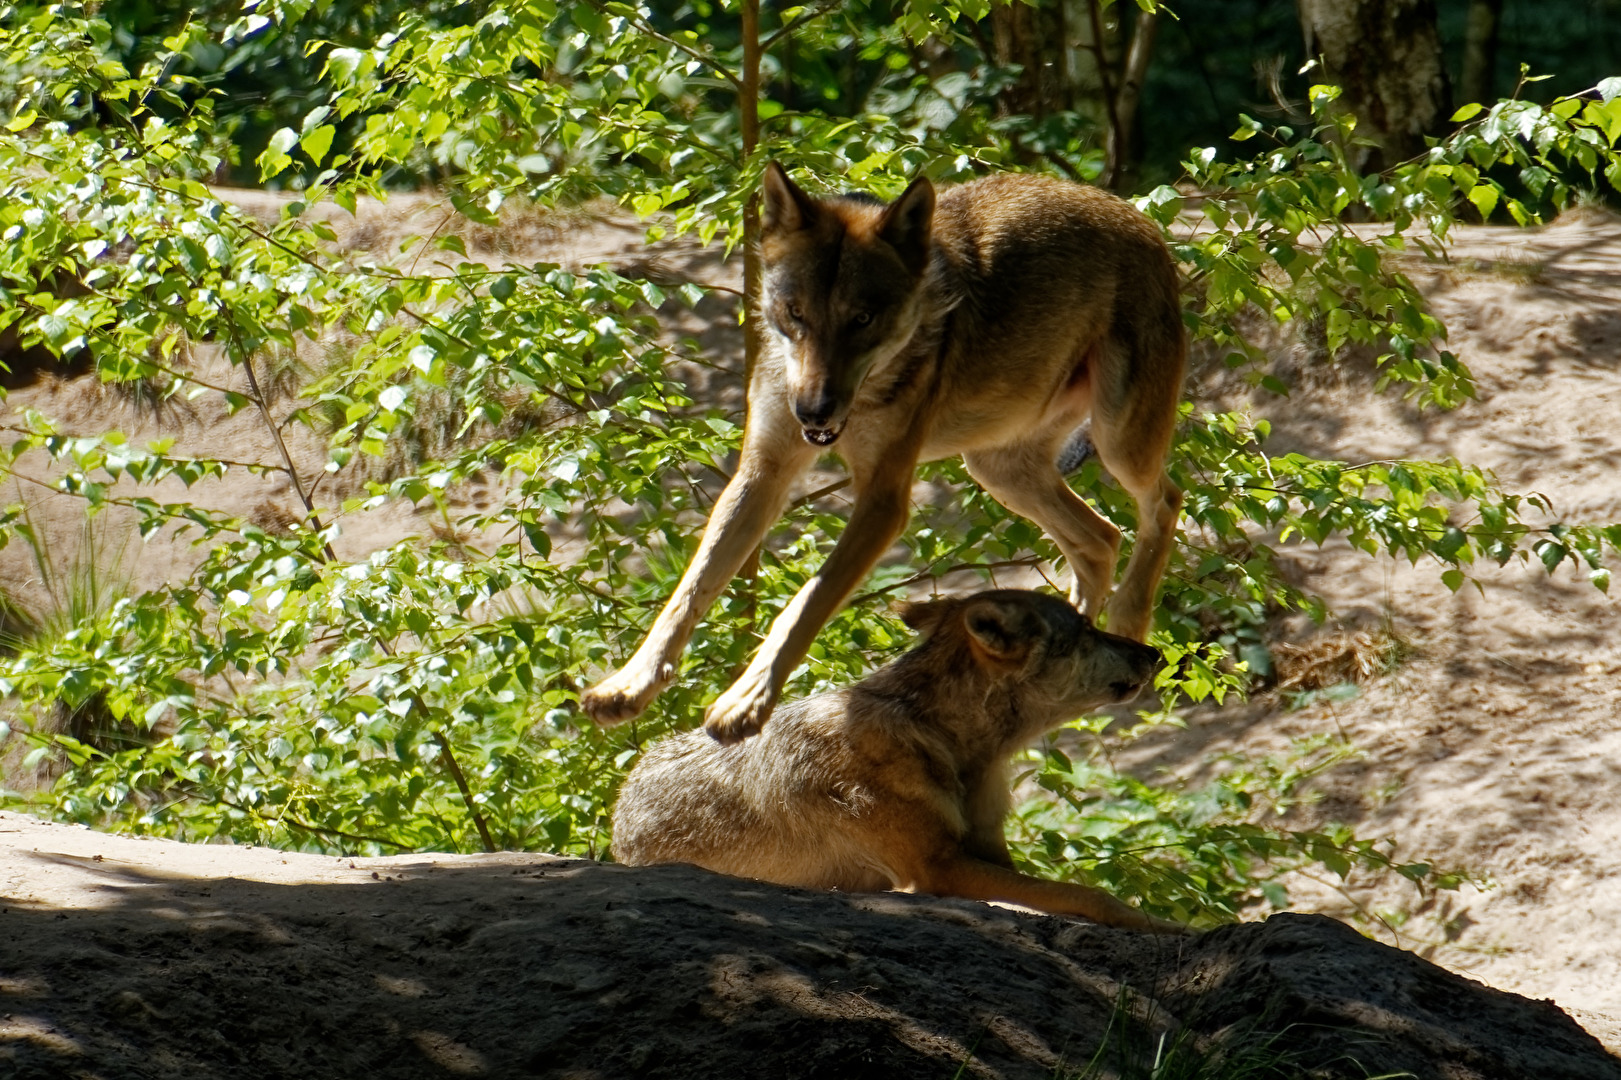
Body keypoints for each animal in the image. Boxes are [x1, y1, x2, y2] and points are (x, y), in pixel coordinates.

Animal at [582, 164, 1186, 742]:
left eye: (863, 319)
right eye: (795, 313)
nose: (813, 412)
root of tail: (1136, 215)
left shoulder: (882, 501)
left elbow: (805, 603)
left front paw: (747, 699)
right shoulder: (761, 474)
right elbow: (689, 591)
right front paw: (628, 684)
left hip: (1116, 441)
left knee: (1163, 501)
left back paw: (1126, 618)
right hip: (998, 470)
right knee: (1101, 537)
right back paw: (1076, 633)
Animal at [612, 589, 1185, 933]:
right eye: (1086, 631)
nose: (1155, 653)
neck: (941, 735)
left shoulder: (986, 852)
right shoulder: (937, 868)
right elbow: (1090, 895)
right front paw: (1169, 927)